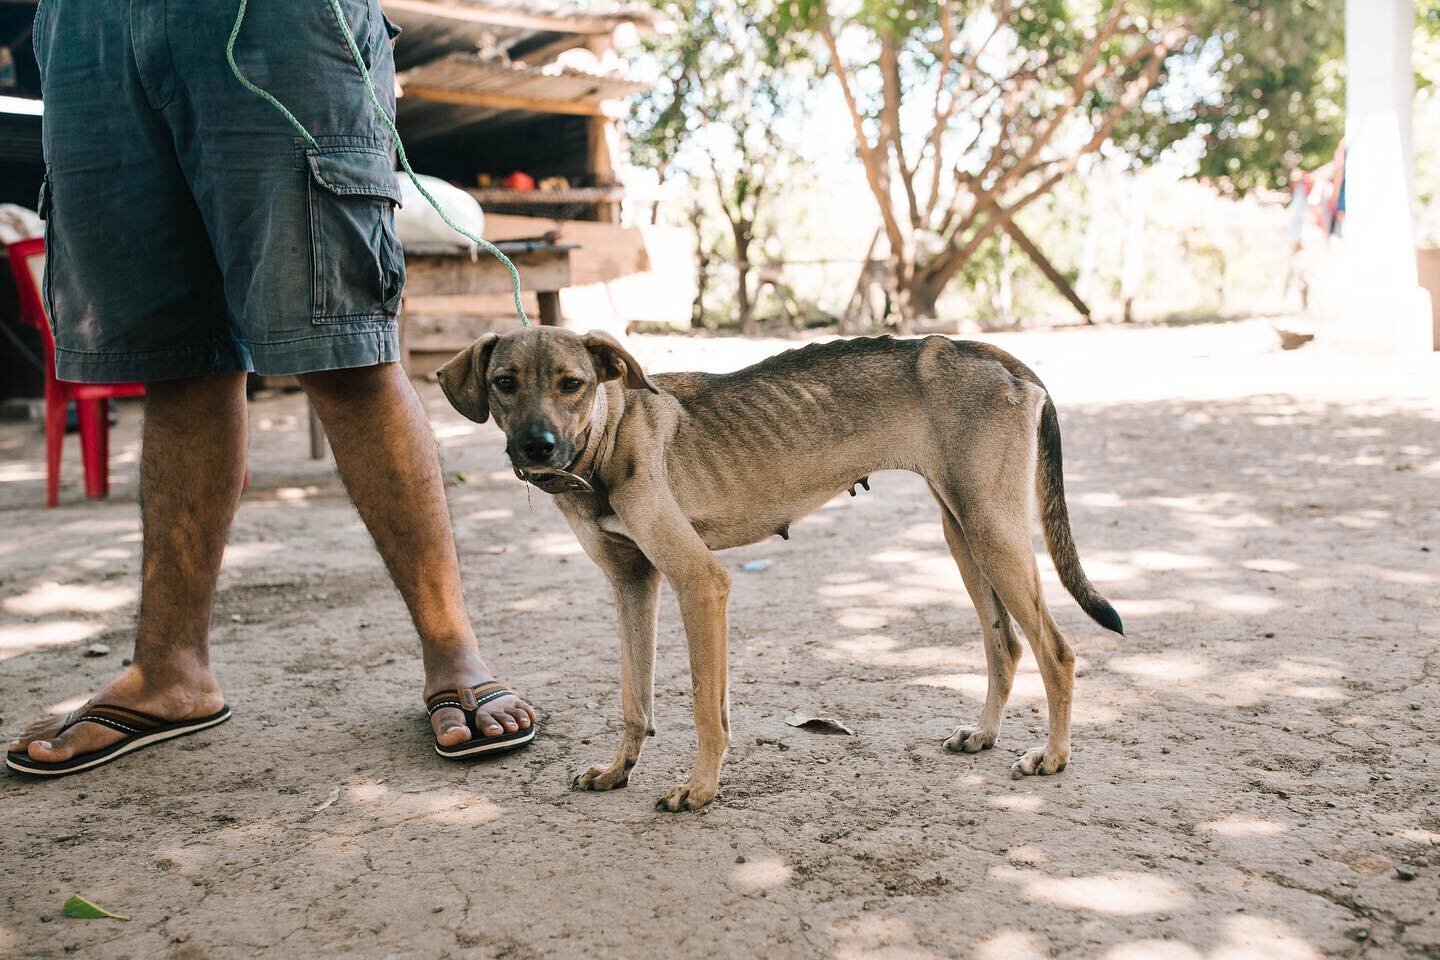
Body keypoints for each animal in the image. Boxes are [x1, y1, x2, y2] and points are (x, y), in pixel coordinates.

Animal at [437, 331, 1123, 811]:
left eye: (572, 383)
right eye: (504, 382)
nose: (538, 447)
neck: (610, 436)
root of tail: (981, 349)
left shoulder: (701, 584)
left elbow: (704, 709)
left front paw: (700, 790)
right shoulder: (634, 587)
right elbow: (636, 700)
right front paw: (617, 770)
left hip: (991, 533)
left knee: (1057, 651)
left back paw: (1053, 757)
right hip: (964, 536)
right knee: (1006, 646)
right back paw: (983, 735)